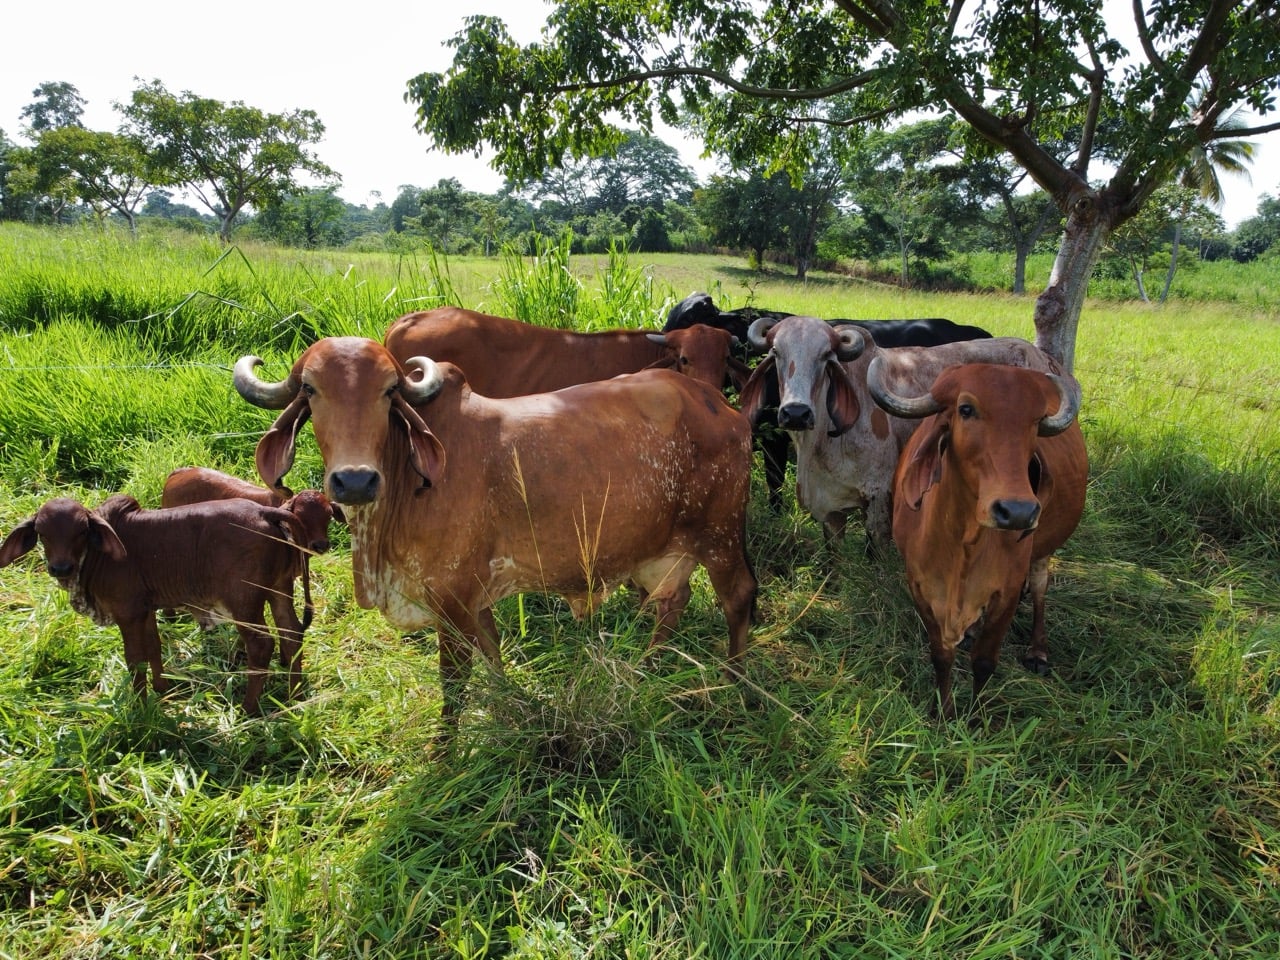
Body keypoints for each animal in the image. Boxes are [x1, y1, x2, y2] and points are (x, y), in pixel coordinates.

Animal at [0, 494, 316, 714]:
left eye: (81, 530)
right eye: (42, 533)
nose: (60, 568)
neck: (96, 557)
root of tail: (265, 511)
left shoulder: (127, 613)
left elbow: (134, 660)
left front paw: (140, 706)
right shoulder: (145, 610)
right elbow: (154, 647)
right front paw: (162, 688)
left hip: (244, 602)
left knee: (262, 645)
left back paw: (248, 708)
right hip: (280, 588)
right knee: (292, 633)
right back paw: (295, 696)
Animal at [232, 336, 758, 734]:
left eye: (388, 391)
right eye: (310, 389)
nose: (356, 480)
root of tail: (720, 405)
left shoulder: (450, 600)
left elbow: (454, 681)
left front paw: (445, 753)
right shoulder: (473, 596)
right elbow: (493, 652)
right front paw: (508, 702)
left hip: (721, 536)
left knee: (738, 597)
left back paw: (735, 684)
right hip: (666, 551)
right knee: (673, 602)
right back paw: (645, 670)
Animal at [738, 315, 1064, 555]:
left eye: (826, 355)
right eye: (776, 353)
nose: (796, 413)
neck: (821, 442)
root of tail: (1045, 360)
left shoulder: (878, 498)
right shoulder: (830, 508)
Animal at [867, 361, 1088, 720]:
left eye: (1036, 421)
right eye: (966, 409)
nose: (1018, 511)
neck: (963, 544)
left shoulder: (1006, 594)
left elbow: (984, 661)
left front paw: (974, 716)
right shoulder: (920, 588)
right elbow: (941, 655)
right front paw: (943, 712)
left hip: (1043, 550)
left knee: (1040, 586)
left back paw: (1038, 651)